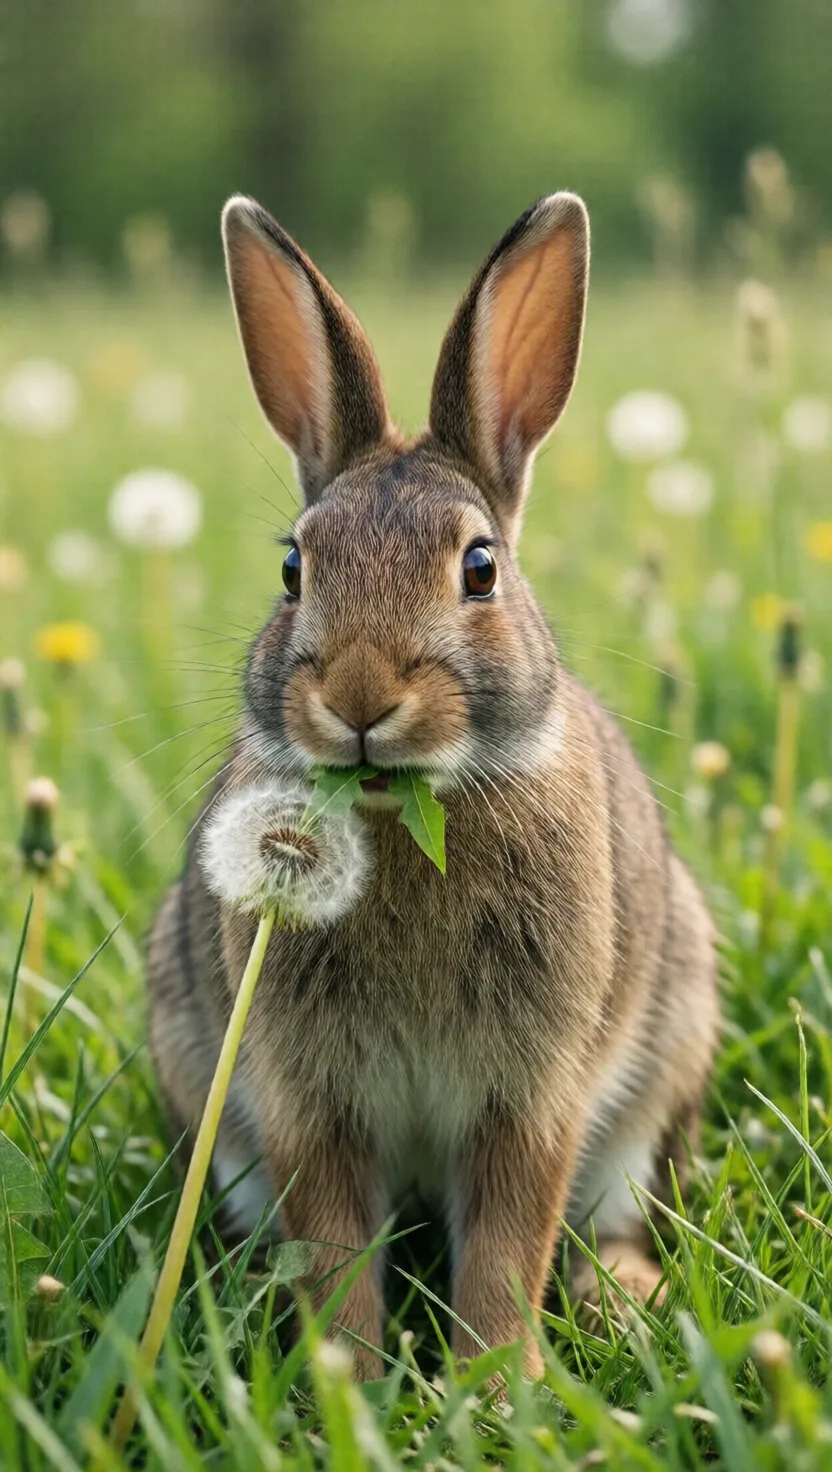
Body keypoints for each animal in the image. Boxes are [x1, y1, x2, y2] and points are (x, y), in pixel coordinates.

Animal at [148, 190, 719, 1381]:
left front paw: (495, 1382)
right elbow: (334, 1249)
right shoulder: (305, 1099)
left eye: (480, 568)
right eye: (293, 568)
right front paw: (346, 1383)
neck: (408, 811)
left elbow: (506, 1240)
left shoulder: (529, 1095)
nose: (361, 695)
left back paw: (623, 1301)